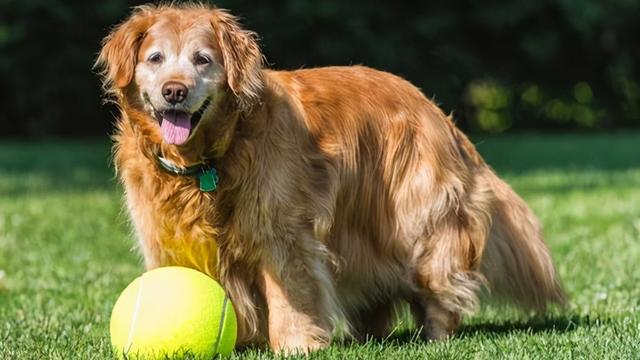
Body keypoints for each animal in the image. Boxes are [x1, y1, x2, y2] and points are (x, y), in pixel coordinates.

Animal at [95, 2, 564, 354]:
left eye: (202, 60)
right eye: (155, 59)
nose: (174, 90)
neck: (207, 159)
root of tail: (435, 109)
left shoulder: (281, 228)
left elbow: (288, 290)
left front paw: (296, 343)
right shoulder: (169, 239)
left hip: (417, 222)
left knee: (439, 281)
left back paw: (436, 333)